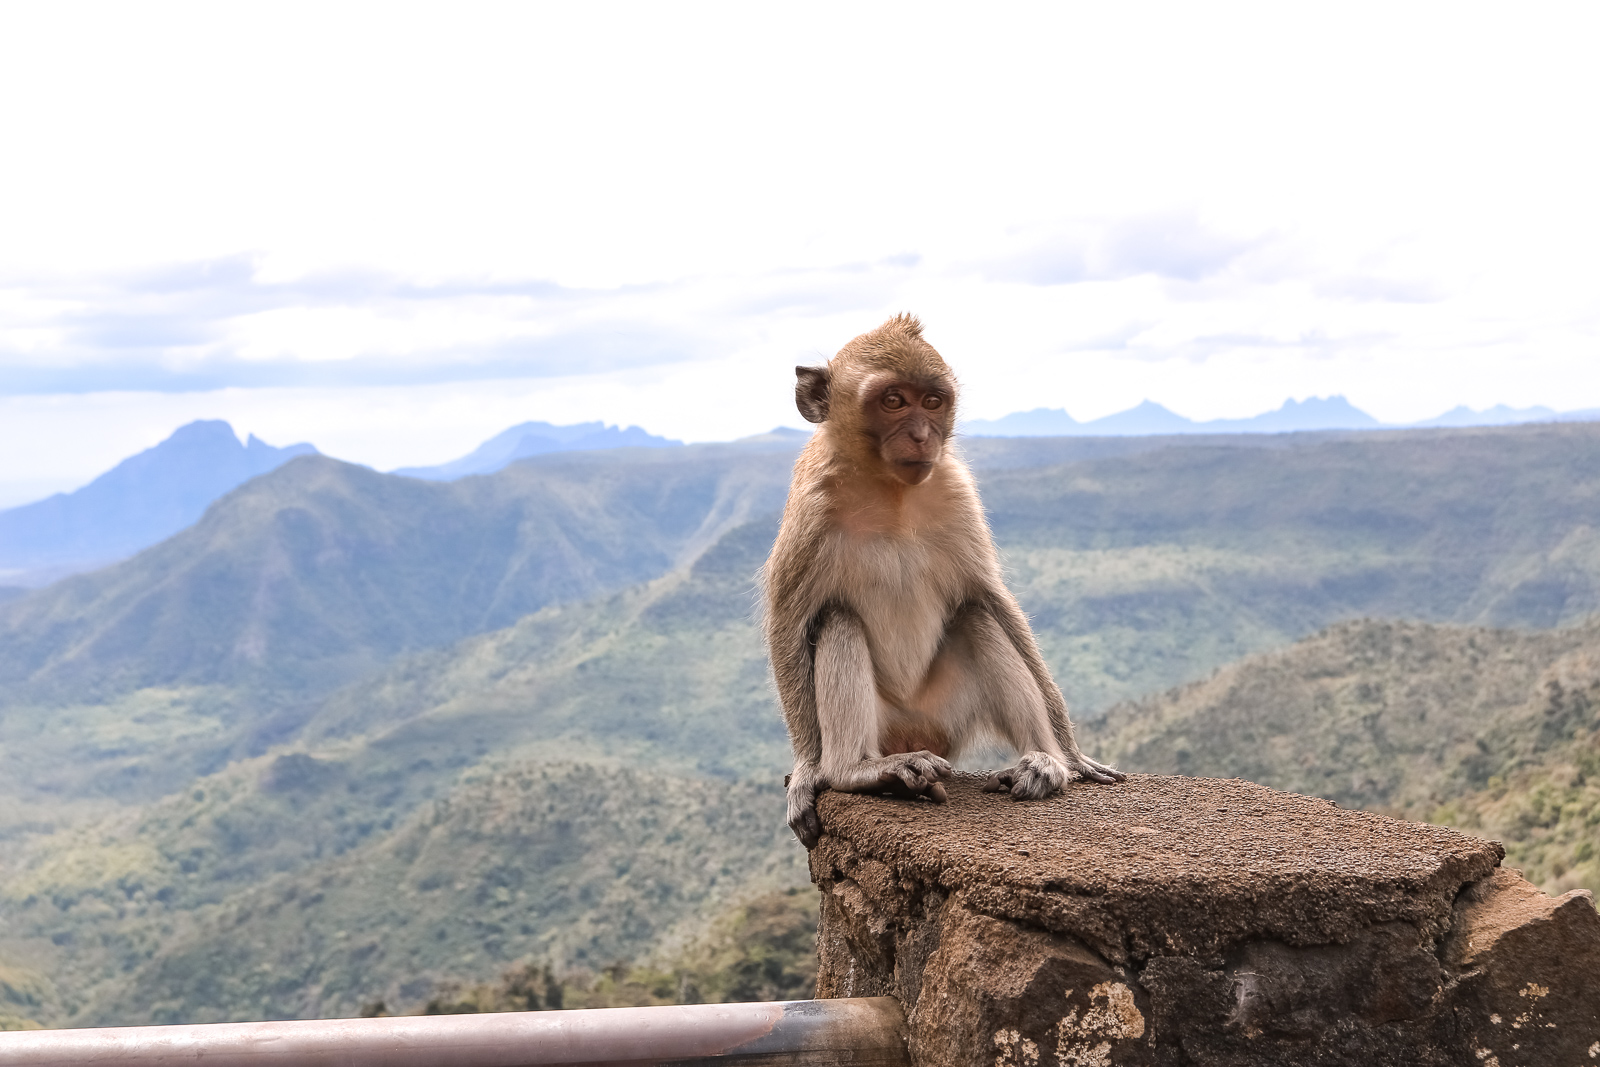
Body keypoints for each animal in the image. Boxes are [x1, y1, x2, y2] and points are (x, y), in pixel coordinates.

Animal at [761, 313, 1126, 844]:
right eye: (894, 401)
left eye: (932, 401)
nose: (921, 436)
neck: (887, 489)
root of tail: (915, 735)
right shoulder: (811, 506)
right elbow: (788, 624)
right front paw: (809, 769)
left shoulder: (956, 492)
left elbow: (991, 599)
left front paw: (1073, 756)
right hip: (887, 726)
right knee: (838, 619)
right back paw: (858, 771)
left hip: (946, 714)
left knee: (976, 616)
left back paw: (1044, 763)